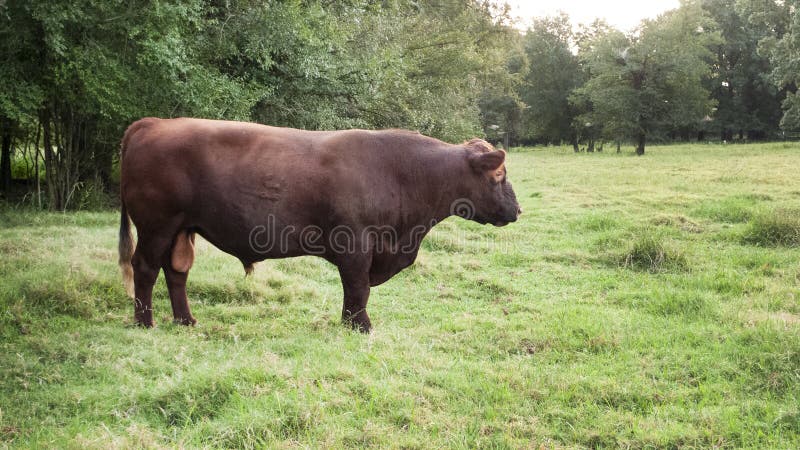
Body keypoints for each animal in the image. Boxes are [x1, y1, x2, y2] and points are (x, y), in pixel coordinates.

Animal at [117, 118, 520, 332]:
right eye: (499, 174)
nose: (517, 210)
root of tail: (154, 123)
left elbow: (355, 290)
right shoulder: (355, 243)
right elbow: (357, 288)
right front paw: (361, 326)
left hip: (181, 229)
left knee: (176, 272)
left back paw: (186, 320)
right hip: (157, 225)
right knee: (145, 268)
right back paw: (145, 323)